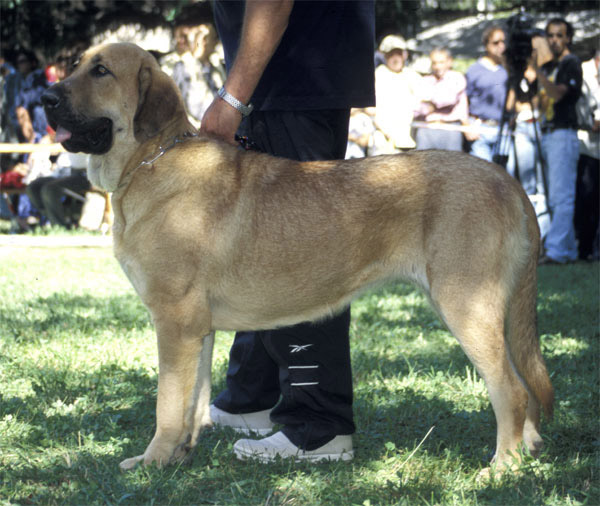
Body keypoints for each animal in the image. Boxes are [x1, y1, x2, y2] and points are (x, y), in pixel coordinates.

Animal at [44, 43, 556, 474]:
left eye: (102, 71)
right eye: (76, 64)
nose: (46, 97)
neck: (150, 160)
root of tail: (506, 180)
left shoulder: (174, 323)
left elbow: (167, 405)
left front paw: (151, 463)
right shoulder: (198, 329)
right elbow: (193, 400)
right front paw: (180, 456)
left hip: (466, 306)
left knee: (510, 389)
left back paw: (502, 469)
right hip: (489, 312)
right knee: (526, 383)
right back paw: (528, 449)